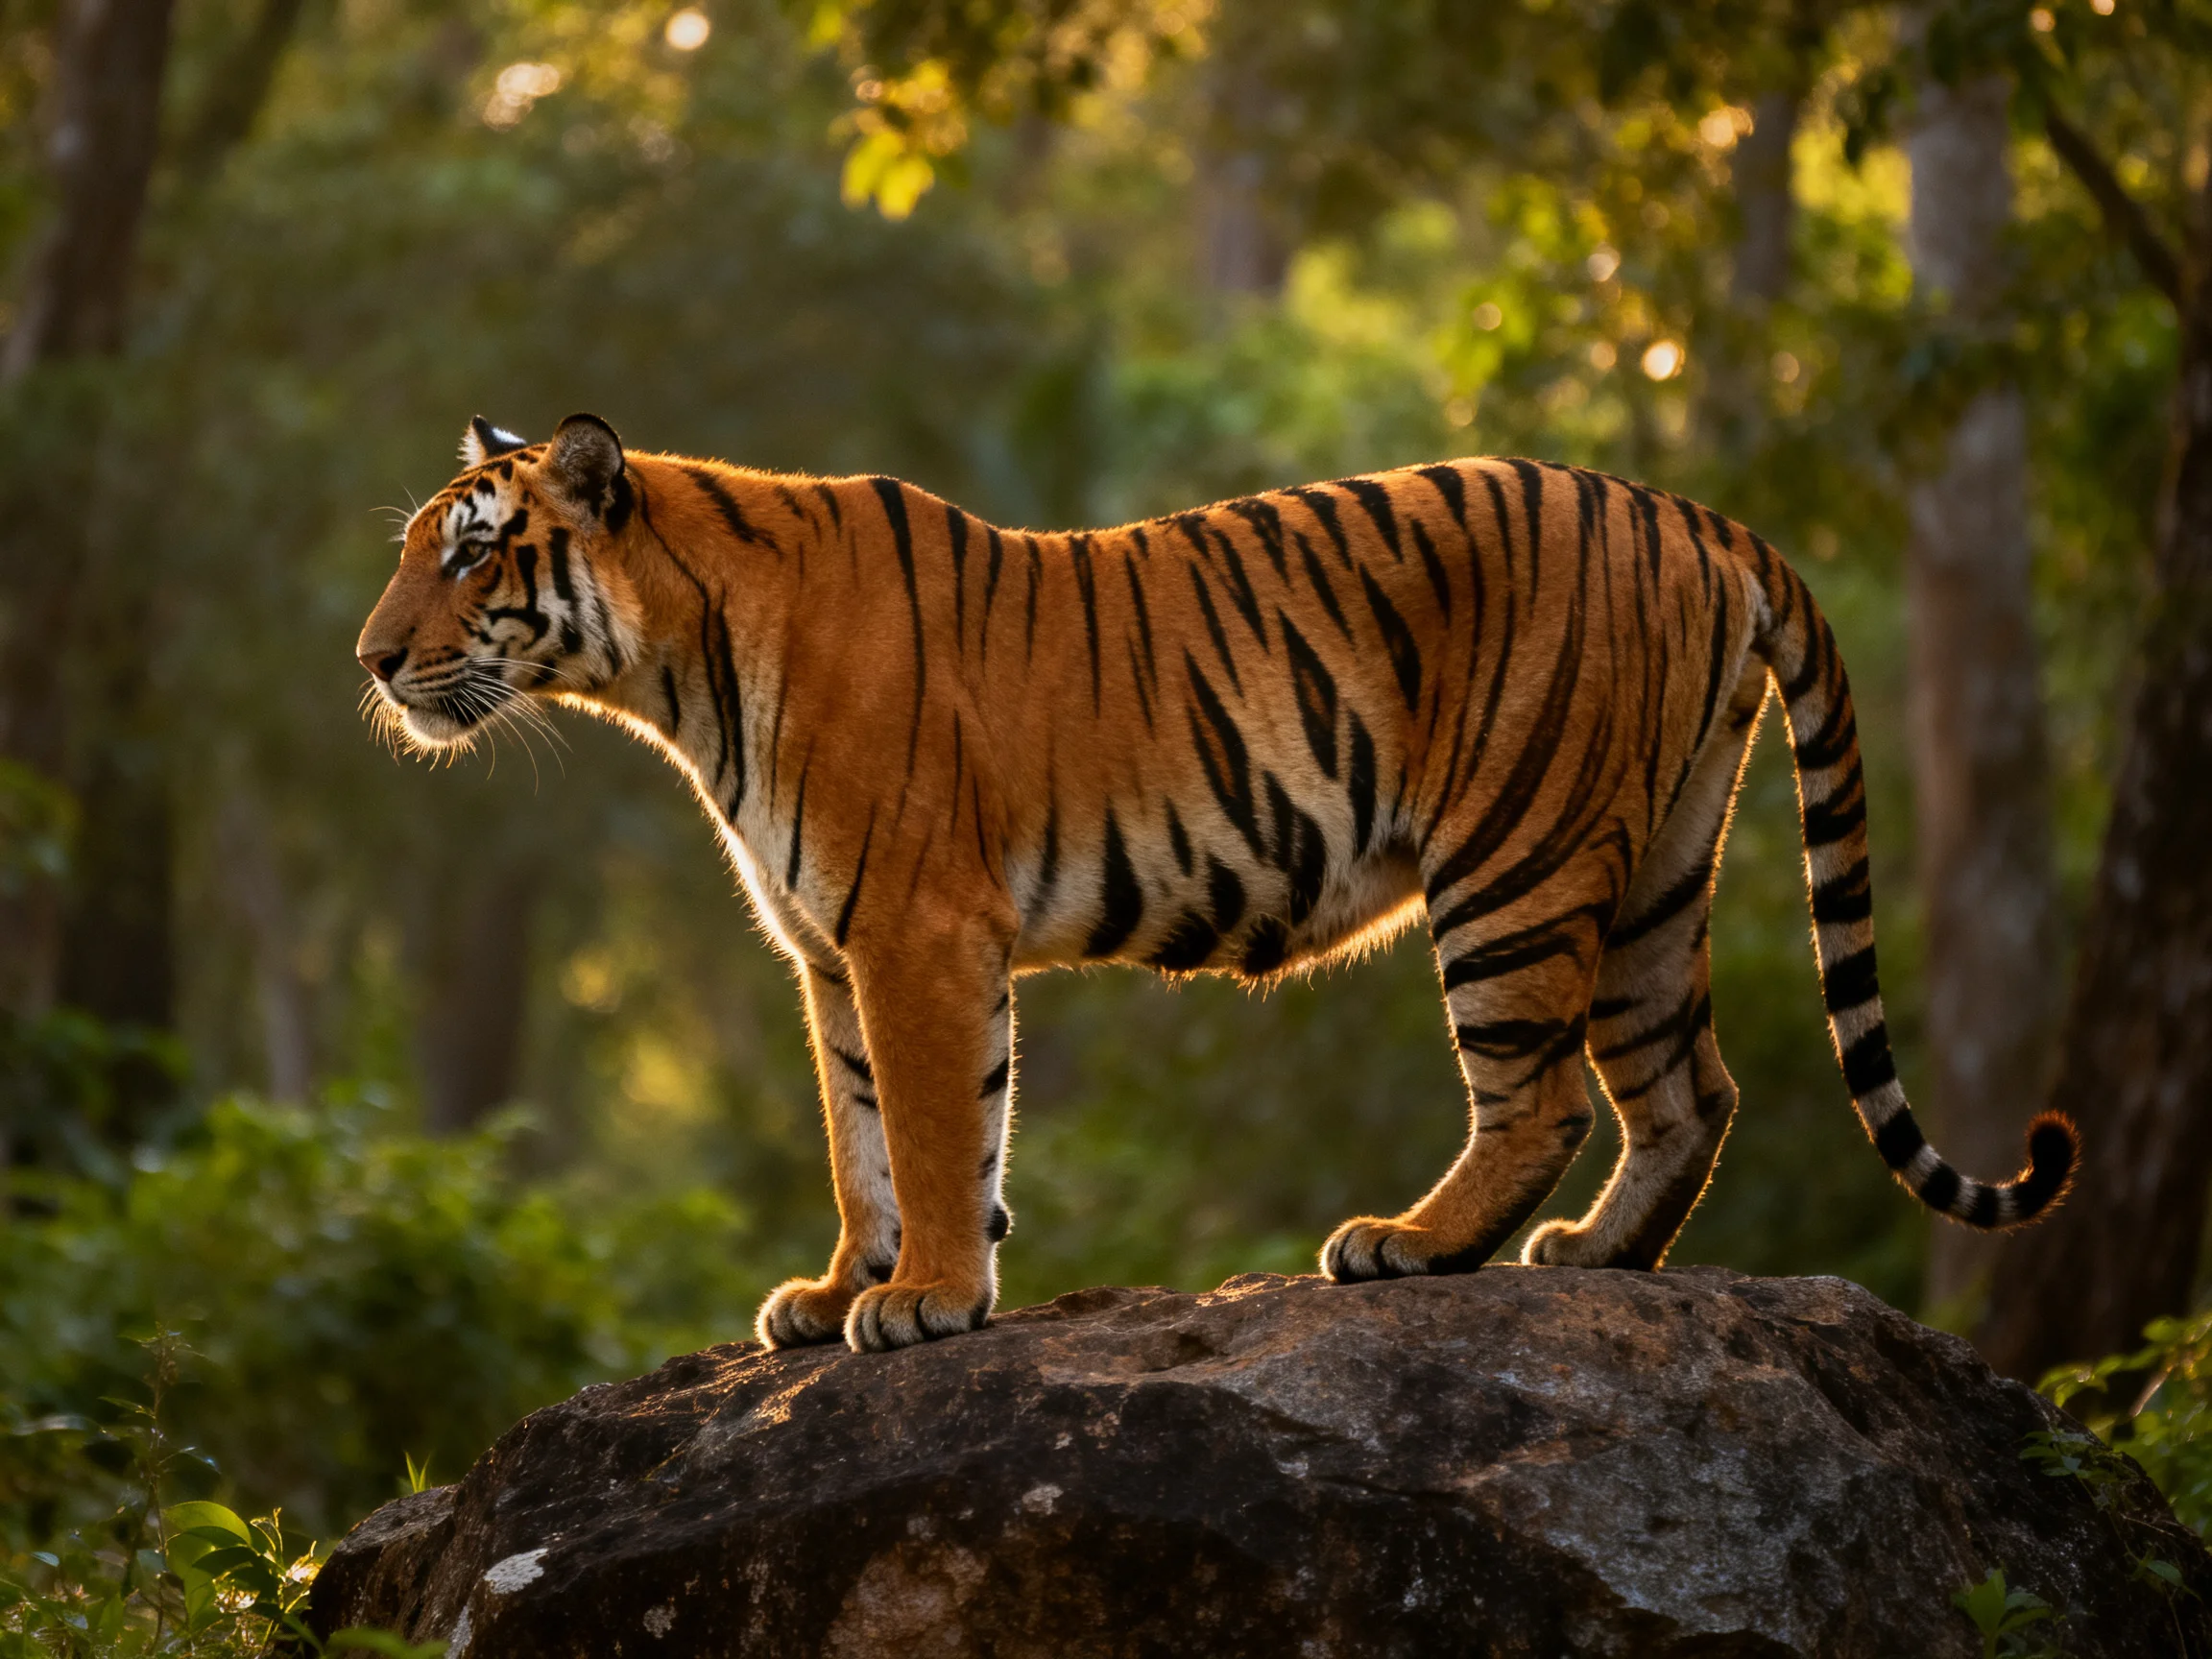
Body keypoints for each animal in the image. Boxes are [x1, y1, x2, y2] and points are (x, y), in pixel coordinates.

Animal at [356, 412, 2077, 1353]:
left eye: (471, 553)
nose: (369, 660)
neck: (668, 668)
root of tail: (1694, 512)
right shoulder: (832, 954)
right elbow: (871, 1137)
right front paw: (847, 1282)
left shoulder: (910, 932)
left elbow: (928, 1132)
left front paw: (920, 1297)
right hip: (1654, 862)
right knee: (1690, 1089)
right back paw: (1594, 1258)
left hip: (1513, 861)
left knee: (1540, 1098)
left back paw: (1409, 1243)